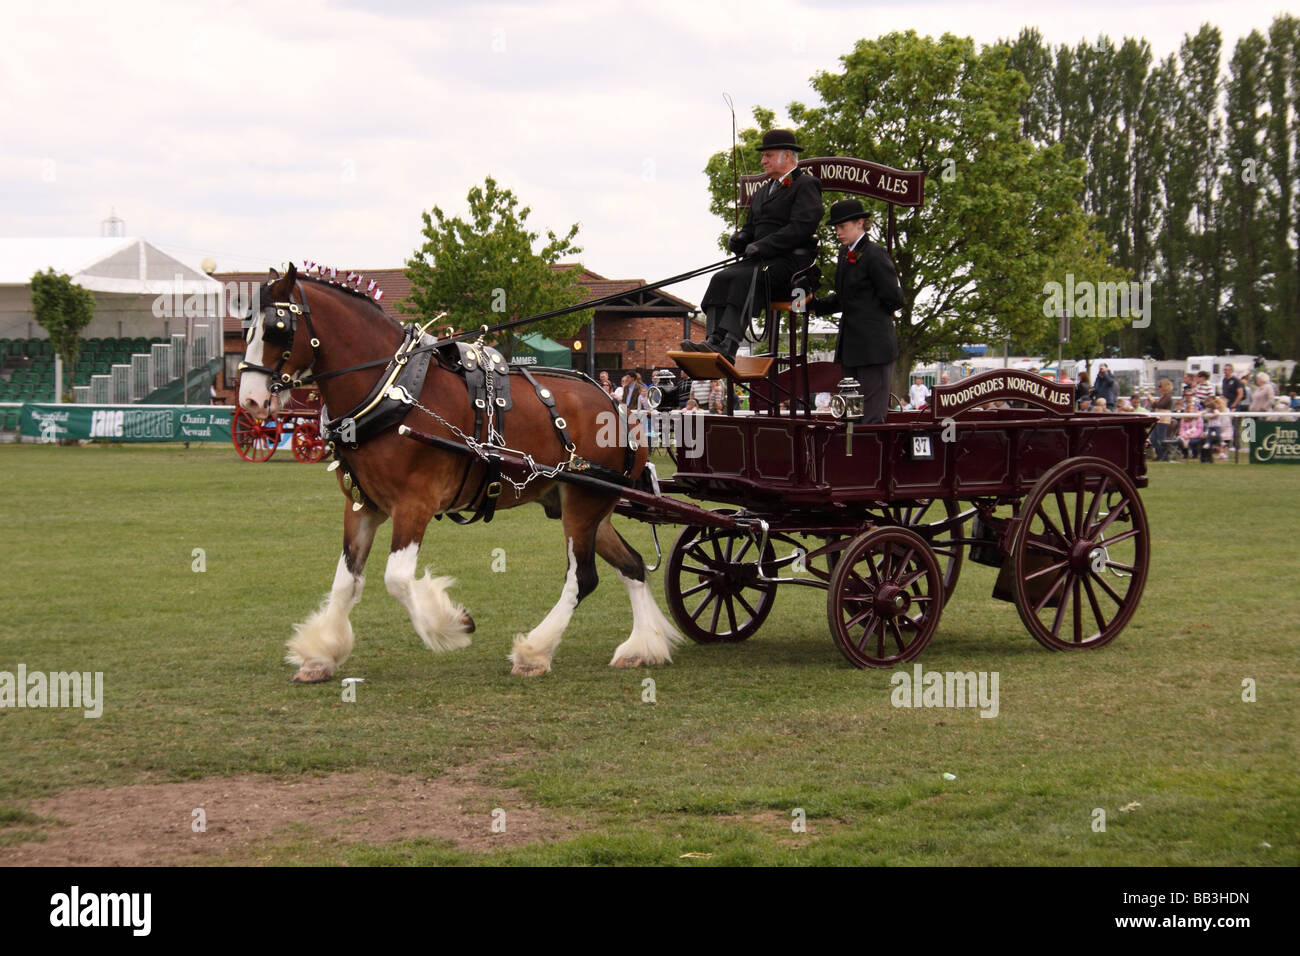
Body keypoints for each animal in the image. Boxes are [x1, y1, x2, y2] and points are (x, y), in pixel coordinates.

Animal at [236, 264, 681, 681]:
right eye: (247, 329)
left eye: (276, 330)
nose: (251, 401)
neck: (392, 390)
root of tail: (621, 410)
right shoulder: (363, 505)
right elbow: (346, 581)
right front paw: (321, 654)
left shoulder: (415, 503)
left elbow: (397, 579)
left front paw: (452, 625)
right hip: (583, 505)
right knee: (632, 564)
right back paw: (643, 647)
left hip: (583, 505)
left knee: (582, 577)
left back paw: (535, 652)